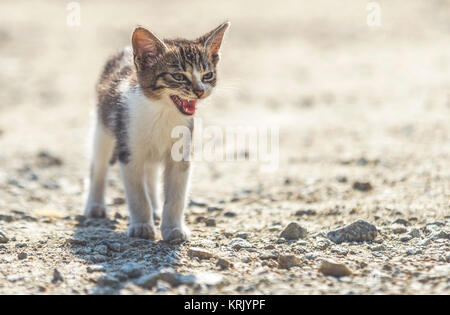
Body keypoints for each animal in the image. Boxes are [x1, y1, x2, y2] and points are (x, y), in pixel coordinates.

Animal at [84, 22, 230, 243]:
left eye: (207, 75)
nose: (199, 91)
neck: (162, 113)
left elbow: (176, 197)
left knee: (150, 173)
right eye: (178, 76)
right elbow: (137, 195)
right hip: (104, 126)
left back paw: (155, 208)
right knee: (99, 165)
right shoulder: (128, 151)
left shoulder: (182, 153)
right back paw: (95, 205)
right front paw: (142, 226)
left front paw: (173, 228)